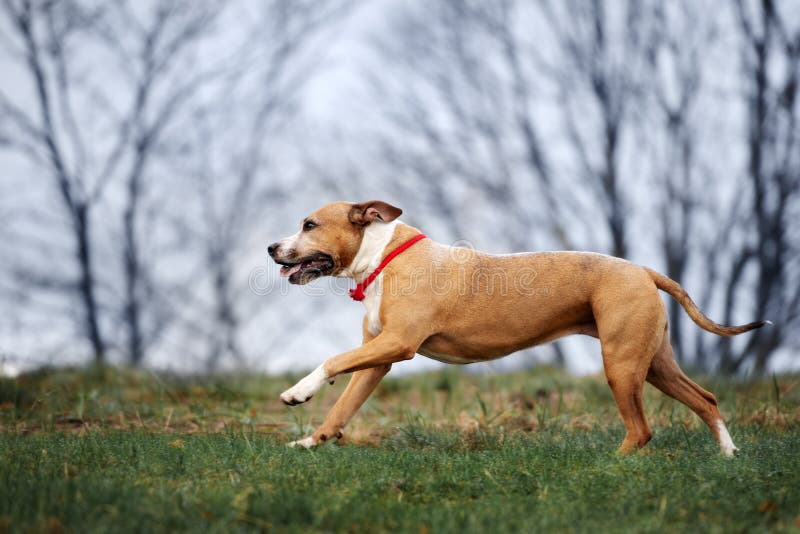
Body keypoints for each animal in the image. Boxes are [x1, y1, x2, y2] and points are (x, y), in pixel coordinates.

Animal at [268, 201, 768, 456]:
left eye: (309, 225)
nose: (272, 247)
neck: (382, 257)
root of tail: (644, 270)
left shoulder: (397, 344)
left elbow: (332, 361)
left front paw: (297, 392)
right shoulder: (378, 359)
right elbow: (343, 407)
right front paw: (311, 441)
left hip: (622, 365)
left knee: (641, 429)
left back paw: (613, 465)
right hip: (654, 364)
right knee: (705, 399)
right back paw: (728, 456)